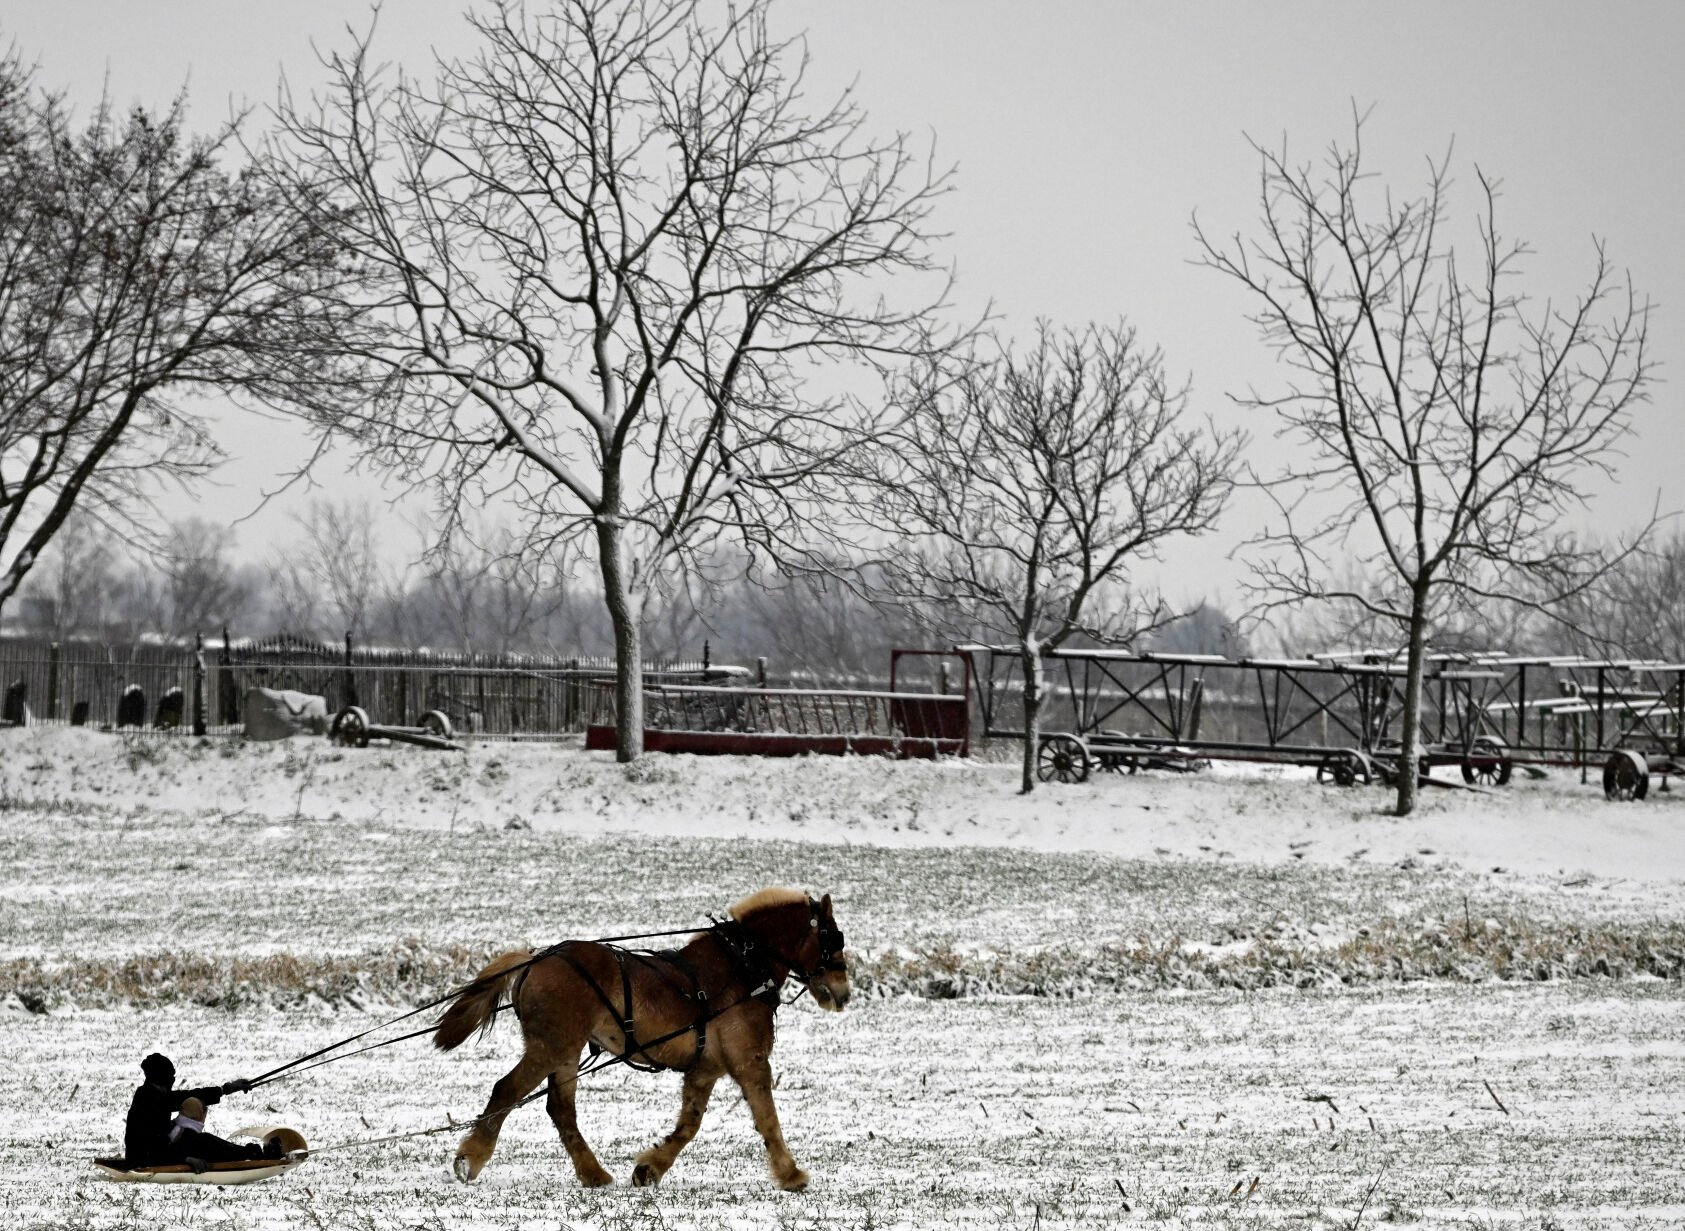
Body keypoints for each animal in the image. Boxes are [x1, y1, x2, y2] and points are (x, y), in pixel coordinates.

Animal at [434, 889, 855, 1192]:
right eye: (831, 939)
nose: (843, 994)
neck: (741, 968)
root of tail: (536, 959)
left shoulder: (706, 1068)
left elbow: (689, 1124)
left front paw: (649, 1169)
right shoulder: (750, 1061)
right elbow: (767, 1119)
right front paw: (791, 1174)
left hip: (566, 1052)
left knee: (561, 1109)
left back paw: (593, 1174)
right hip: (550, 1047)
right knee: (507, 1090)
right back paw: (470, 1159)